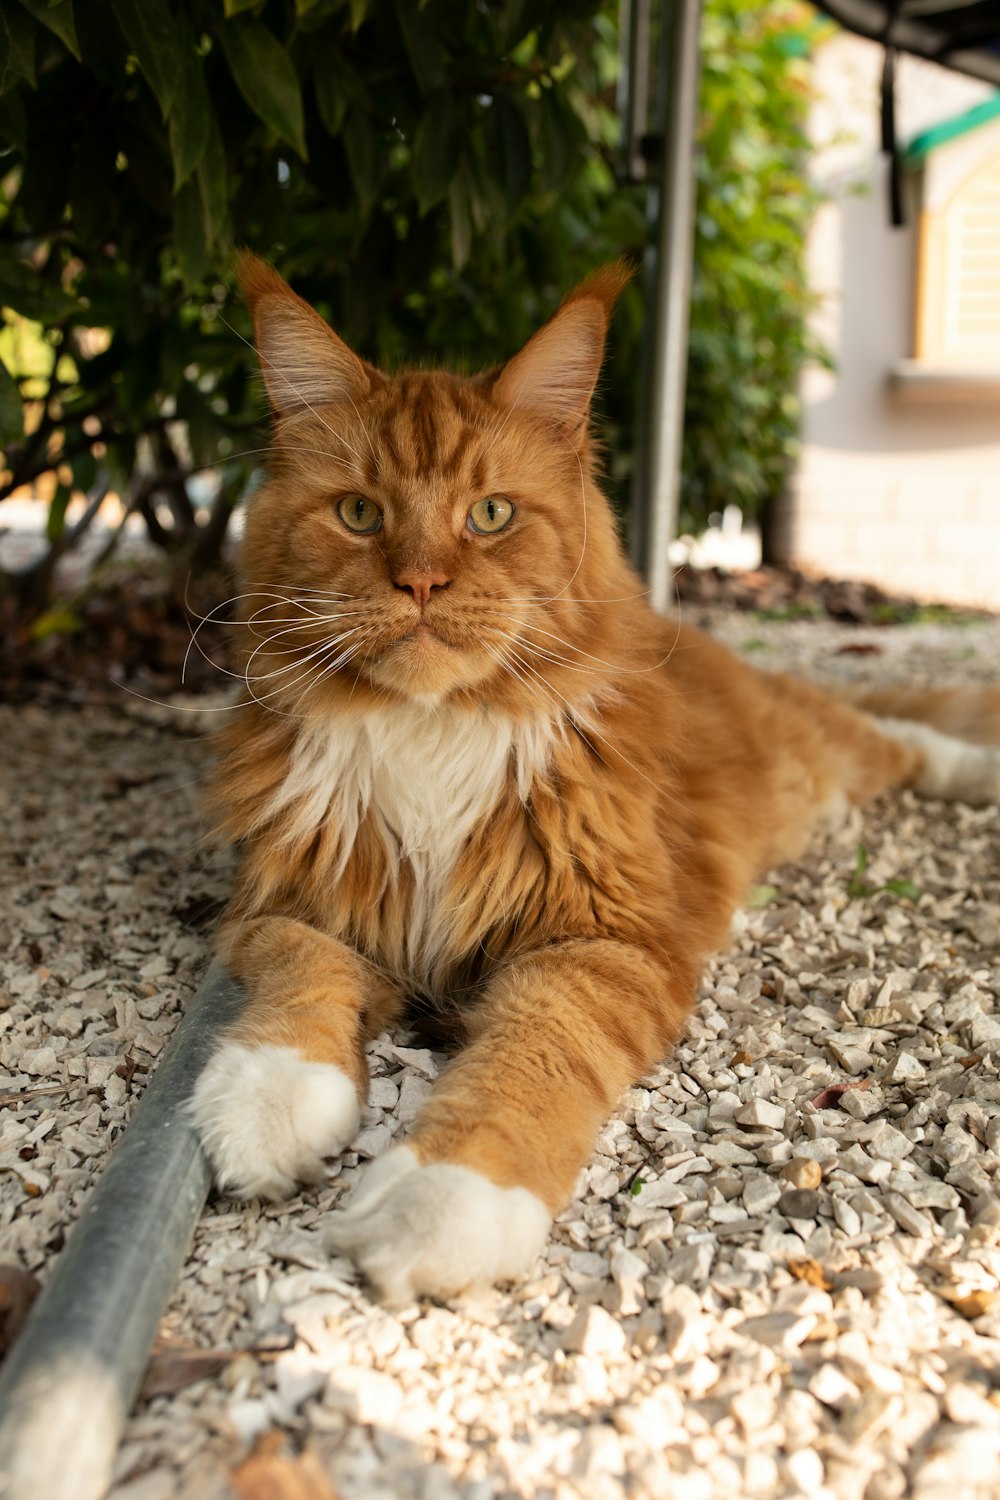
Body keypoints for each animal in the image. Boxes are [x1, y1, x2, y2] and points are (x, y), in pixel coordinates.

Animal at [191, 255, 1000, 1302]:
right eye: (360, 514)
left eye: (490, 515)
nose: (420, 583)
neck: (433, 732)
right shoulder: (284, 900)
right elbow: (302, 977)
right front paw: (268, 1098)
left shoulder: (604, 942)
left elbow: (528, 1058)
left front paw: (442, 1199)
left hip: (821, 756)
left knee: (898, 736)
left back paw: (977, 769)